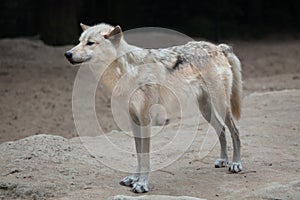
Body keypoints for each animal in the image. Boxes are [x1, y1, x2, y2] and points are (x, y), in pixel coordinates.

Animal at [65, 22, 244, 193]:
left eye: (90, 43)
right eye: (79, 41)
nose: (67, 54)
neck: (127, 71)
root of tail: (219, 47)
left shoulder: (145, 120)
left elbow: (145, 157)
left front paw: (141, 184)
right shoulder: (134, 119)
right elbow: (138, 155)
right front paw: (134, 179)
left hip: (221, 106)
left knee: (235, 131)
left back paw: (235, 163)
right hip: (207, 110)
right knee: (222, 130)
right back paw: (223, 160)